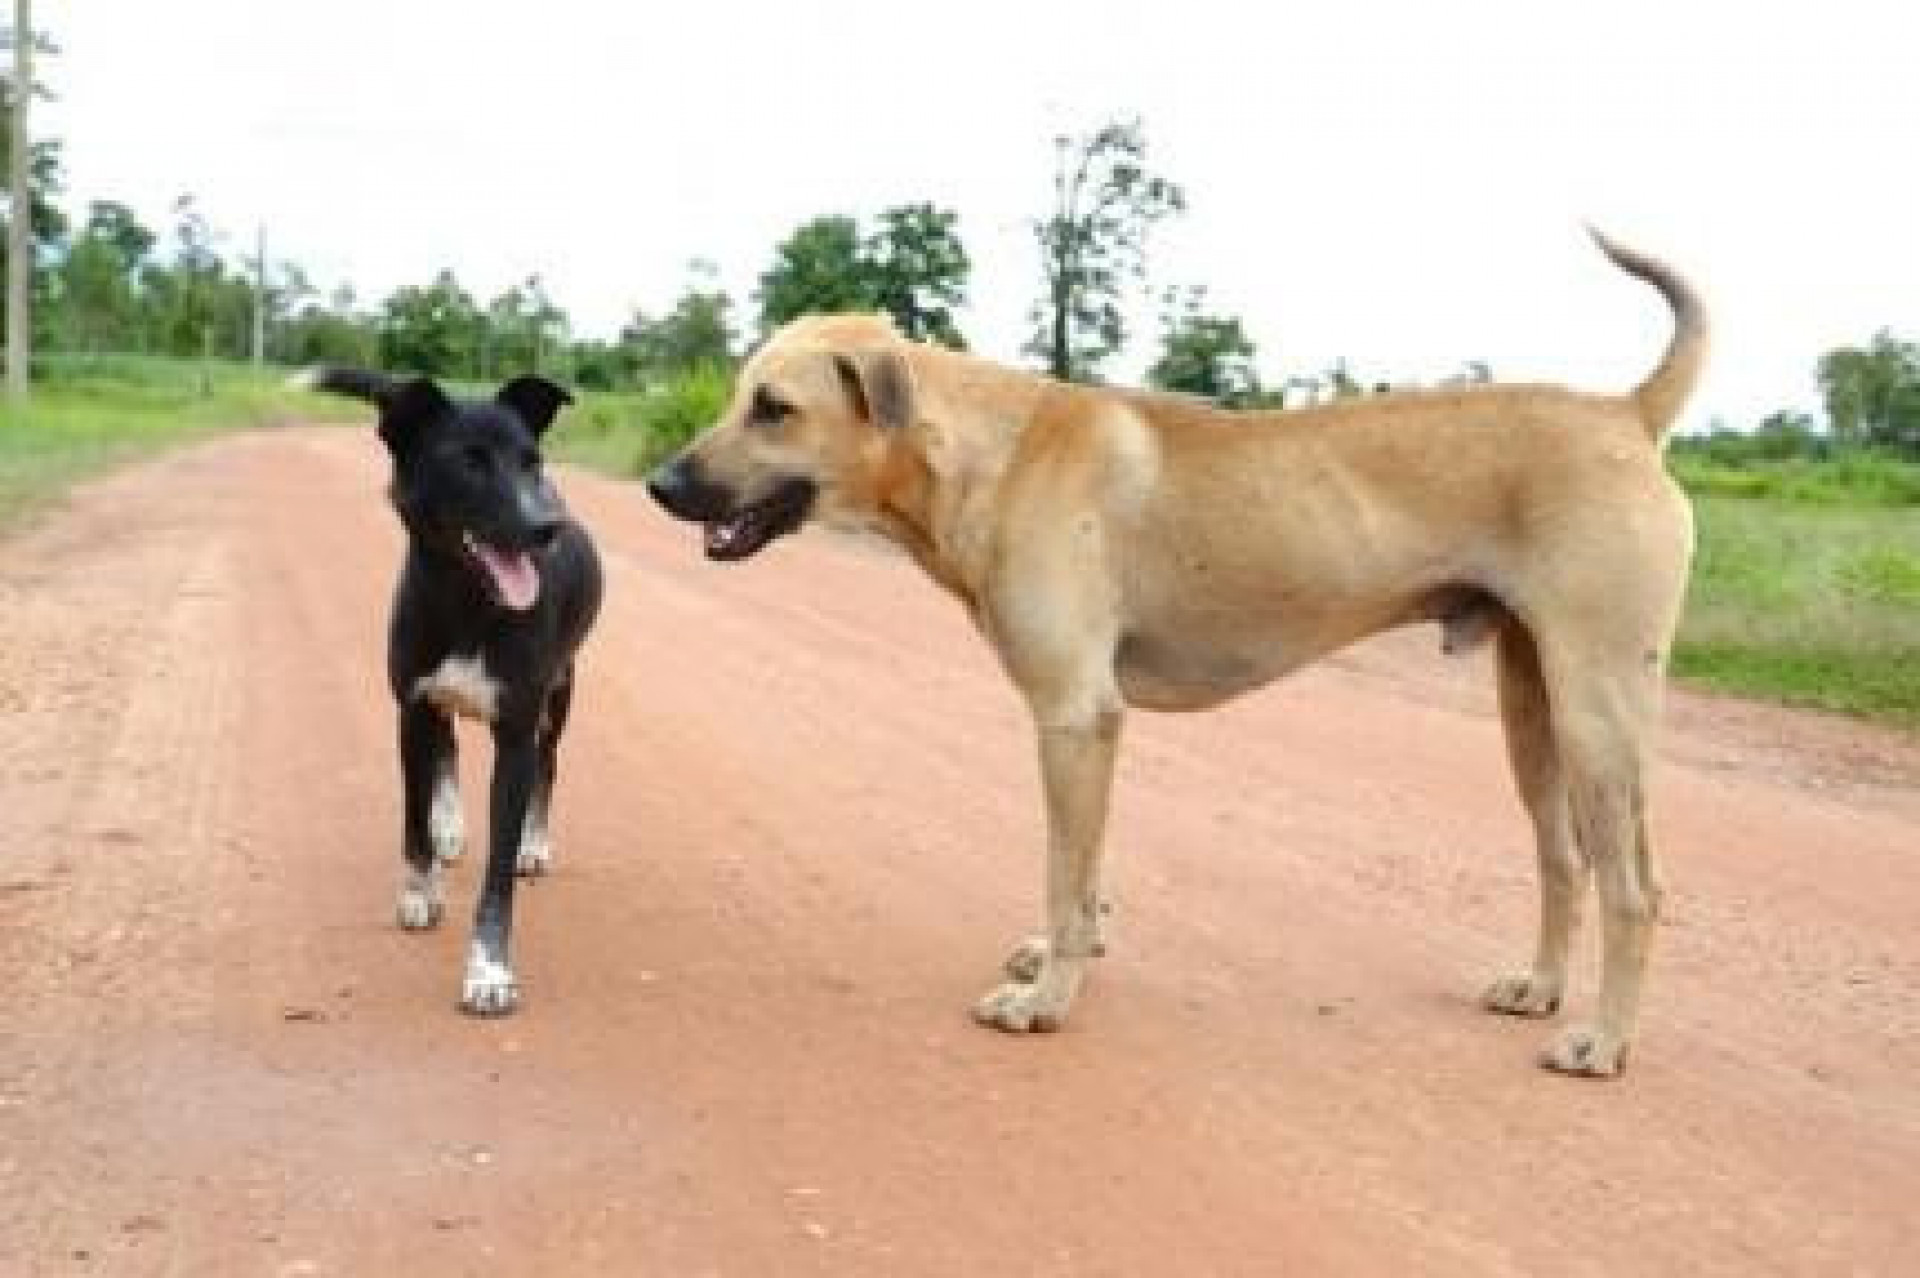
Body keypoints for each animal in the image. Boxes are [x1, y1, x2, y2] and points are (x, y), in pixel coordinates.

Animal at [305, 362, 599, 1013]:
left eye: (531, 461)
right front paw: (420, 890)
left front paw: (489, 971)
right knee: (448, 752)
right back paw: (449, 828)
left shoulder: (516, 733)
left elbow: (498, 876)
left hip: (560, 693)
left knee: (550, 763)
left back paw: (534, 845)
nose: (547, 528)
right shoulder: (411, 710)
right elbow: (413, 818)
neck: (468, 604)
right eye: (469, 462)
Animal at [652, 231, 1704, 1074]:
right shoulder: (1090, 724)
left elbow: (1063, 870)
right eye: (742, 396)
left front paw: (1047, 999)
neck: (994, 452)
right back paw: (1539, 988)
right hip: (1534, 707)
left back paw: (1603, 1043)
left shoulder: (1076, 715)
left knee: (1637, 889)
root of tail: (1625, 412)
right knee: (1564, 860)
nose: (662, 483)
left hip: (1599, 708)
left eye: (772, 407)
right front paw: (1067, 956)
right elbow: (1083, 873)